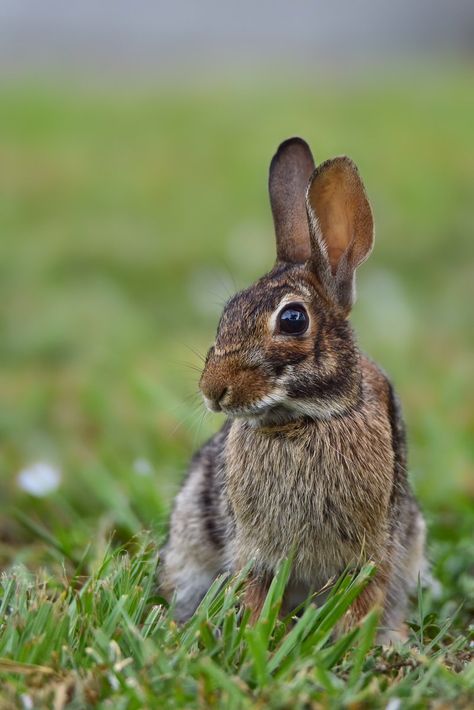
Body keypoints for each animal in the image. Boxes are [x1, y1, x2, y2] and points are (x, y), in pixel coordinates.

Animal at [160, 136, 426, 644]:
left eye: (293, 319)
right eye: (227, 313)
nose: (213, 391)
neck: (301, 420)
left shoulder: (375, 552)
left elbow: (365, 599)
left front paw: (349, 642)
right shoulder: (255, 553)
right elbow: (257, 593)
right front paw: (257, 634)